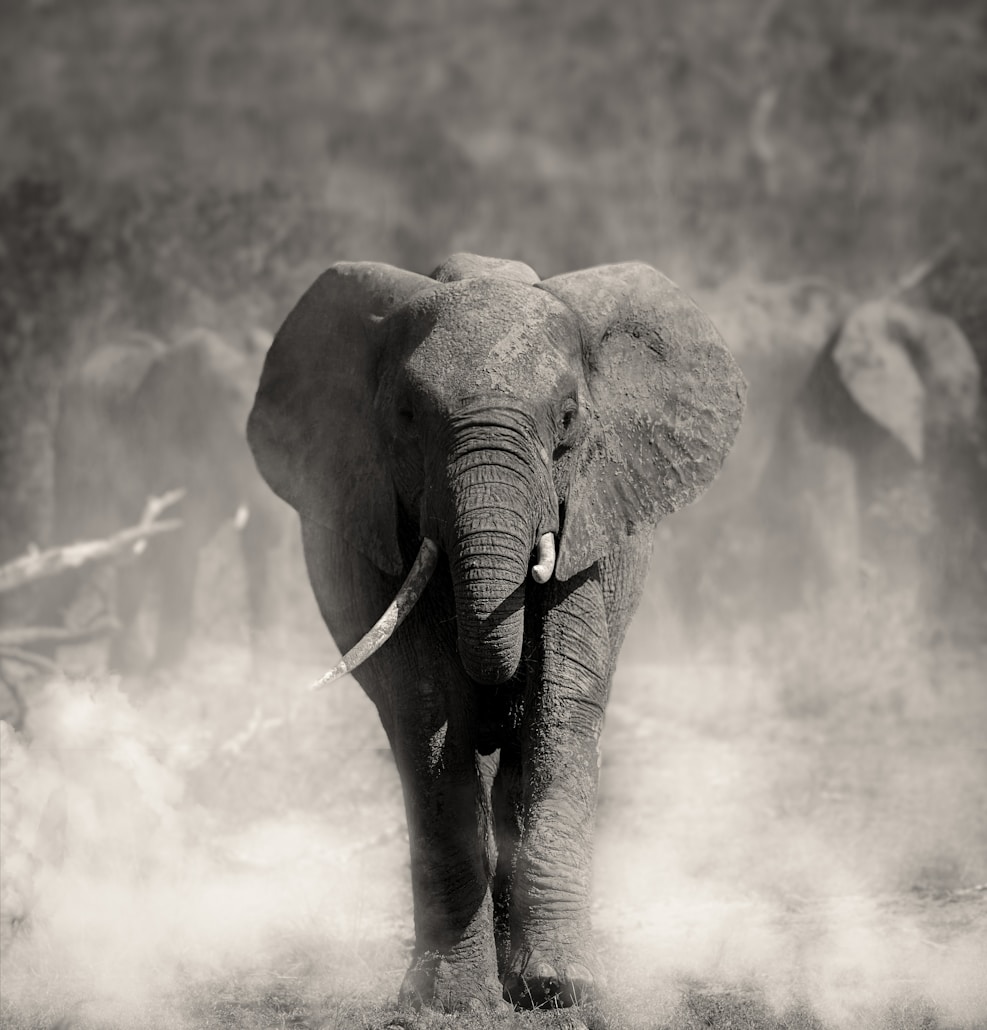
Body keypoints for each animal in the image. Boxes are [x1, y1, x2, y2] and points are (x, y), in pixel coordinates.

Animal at [48, 326, 285, 671]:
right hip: (77, 452)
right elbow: (182, 546)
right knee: (75, 549)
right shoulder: (173, 452)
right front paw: (167, 679)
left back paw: (122, 671)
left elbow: (255, 551)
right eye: (231, 437)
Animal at [247, 252, 746, 1012]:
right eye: (406, 417)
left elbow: (559, 704)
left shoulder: (589, 514)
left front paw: (561, 988)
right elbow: (424, 712)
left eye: (567, 419)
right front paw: (450, 1001)